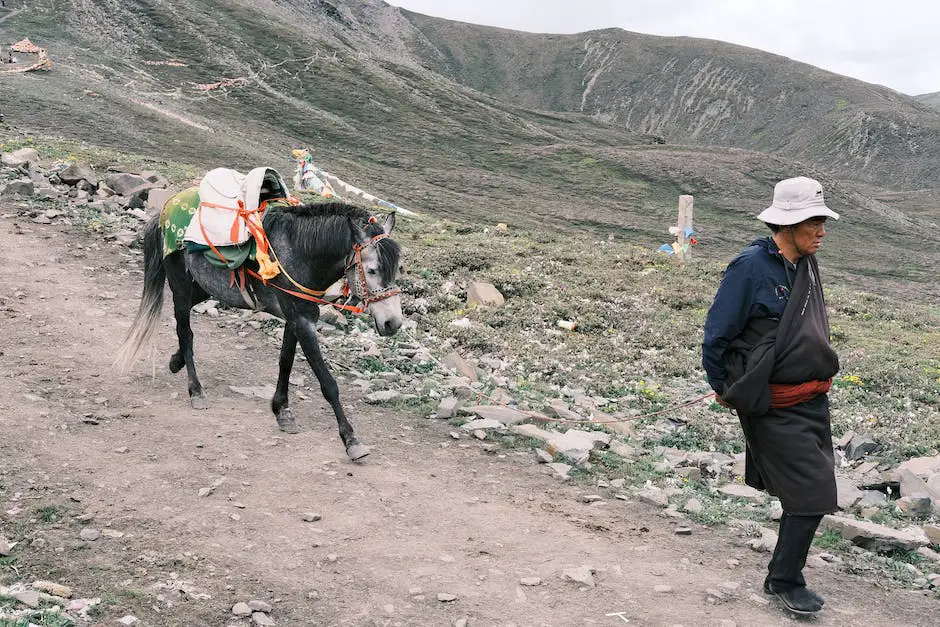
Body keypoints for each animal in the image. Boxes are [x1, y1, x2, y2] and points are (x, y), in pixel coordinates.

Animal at [113, 201, 400, 462]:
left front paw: (281, 410)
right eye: (372, 270)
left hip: (204, 287)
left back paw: (176, 361)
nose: (393, 324)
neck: (300, 253)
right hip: (181, 286)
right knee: (185, 332)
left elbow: (285, 361)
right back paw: (196, 391)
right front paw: (351, 439)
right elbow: (327, 382)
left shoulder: (297, 318)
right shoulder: (301, 321)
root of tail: (164, 210)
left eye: (397, 269)